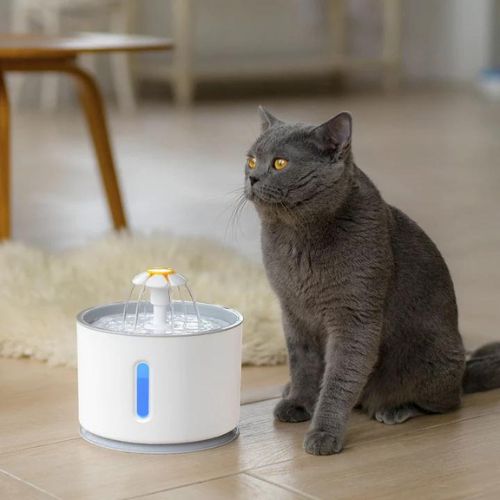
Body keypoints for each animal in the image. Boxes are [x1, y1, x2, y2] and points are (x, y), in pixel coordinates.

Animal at [245, 107, 500, 456]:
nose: (251, 178)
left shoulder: (356, 317)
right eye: (251, 160)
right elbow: (302, 364)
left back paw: (394, 408)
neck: (296, 239)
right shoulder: (293, 313)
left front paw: (323, 434)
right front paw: (298, 402)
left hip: (429, 356)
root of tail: (463, 368)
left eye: (280, 163)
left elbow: (340, 380)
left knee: (447, 402)